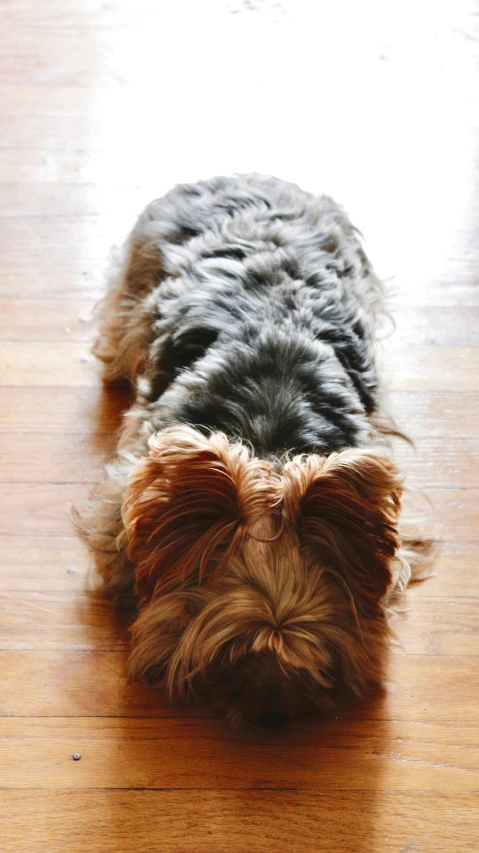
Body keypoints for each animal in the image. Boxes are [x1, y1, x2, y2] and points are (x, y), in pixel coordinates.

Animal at [80, 173, 426, 724]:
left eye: (311, 655)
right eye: (232, 652)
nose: (271, 717)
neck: (270, 448)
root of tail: (243, 175)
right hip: (136, 279)